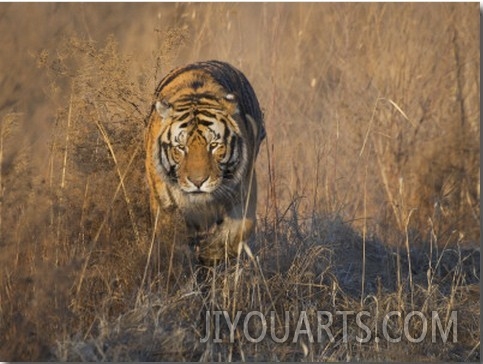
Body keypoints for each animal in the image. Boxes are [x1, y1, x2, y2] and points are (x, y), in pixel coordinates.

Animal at [146, 60, 266, 264]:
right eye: (181, 147)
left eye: (214, 145)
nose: (198, 182)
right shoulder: (165, 206)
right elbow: (172, 245)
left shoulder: (243, 191)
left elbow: (237, 232)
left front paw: (209, 254)